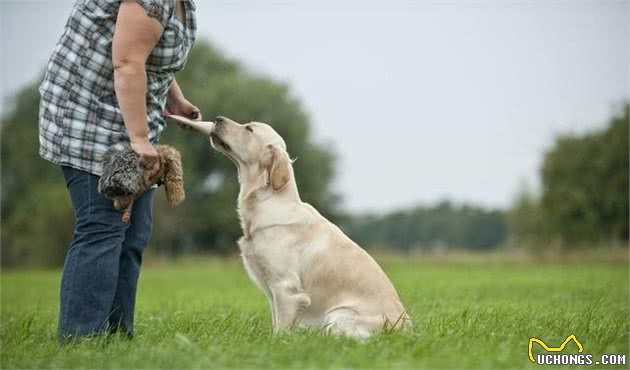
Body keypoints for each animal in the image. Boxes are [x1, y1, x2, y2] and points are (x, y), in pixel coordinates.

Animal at [170, 115, 412, 338]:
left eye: (249, 128)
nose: (217, 119)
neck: (267, 201)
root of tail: (408, 328)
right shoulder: (272, 291)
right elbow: (276, 321)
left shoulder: (286, 289)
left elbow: (281, 330)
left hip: (337, 316)